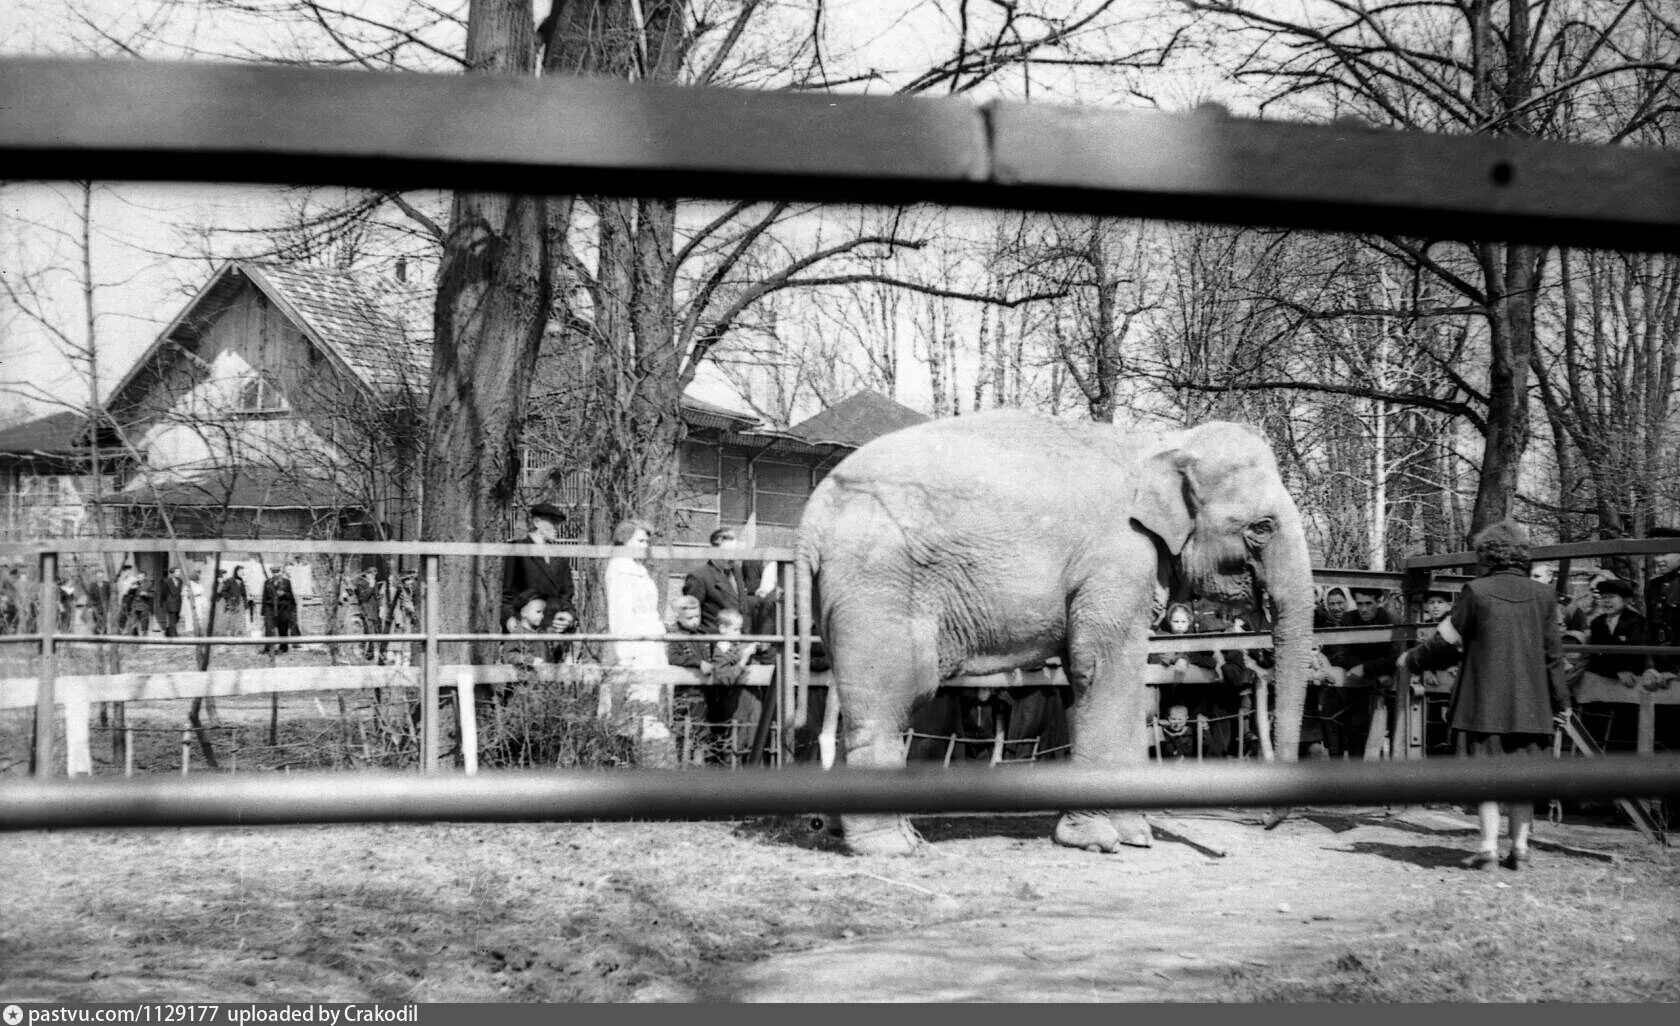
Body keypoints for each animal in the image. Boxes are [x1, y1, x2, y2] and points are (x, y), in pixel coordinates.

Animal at [792, 409, 1317, 859]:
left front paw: (1136, 836)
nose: (1264, 824)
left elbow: (1105, 680)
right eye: (1262, 527)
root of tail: (810, 519)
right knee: (895, 694)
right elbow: (1102, 667)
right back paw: (893, 846)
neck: (1159, 444)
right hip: (879, 585)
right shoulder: (1117, 556)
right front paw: (1098, 841)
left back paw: (842, 829)